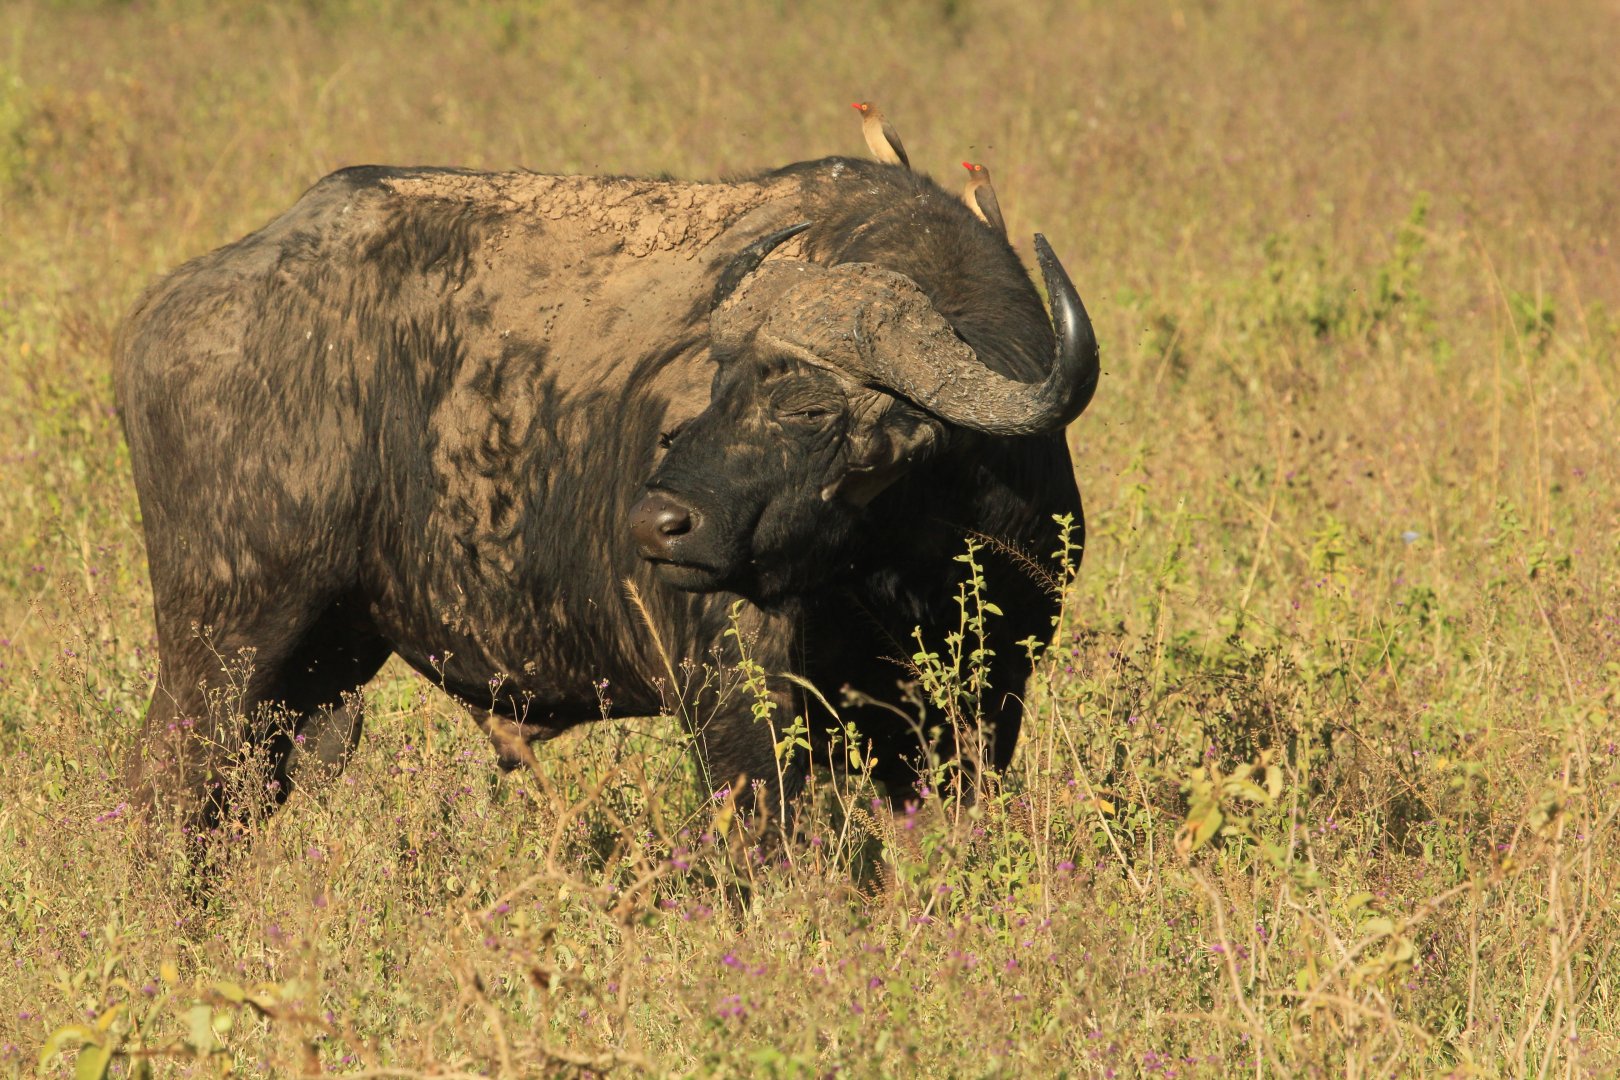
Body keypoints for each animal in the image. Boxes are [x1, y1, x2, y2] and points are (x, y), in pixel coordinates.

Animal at [115, 156, 1097, 839]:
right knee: (170, 784)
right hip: (226, 637)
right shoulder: (736, 703)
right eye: (715, 389)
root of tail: (164, 312)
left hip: (326, 661)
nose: (657, 525)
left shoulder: (983, 705)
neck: (900, 572)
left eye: (811, 407)